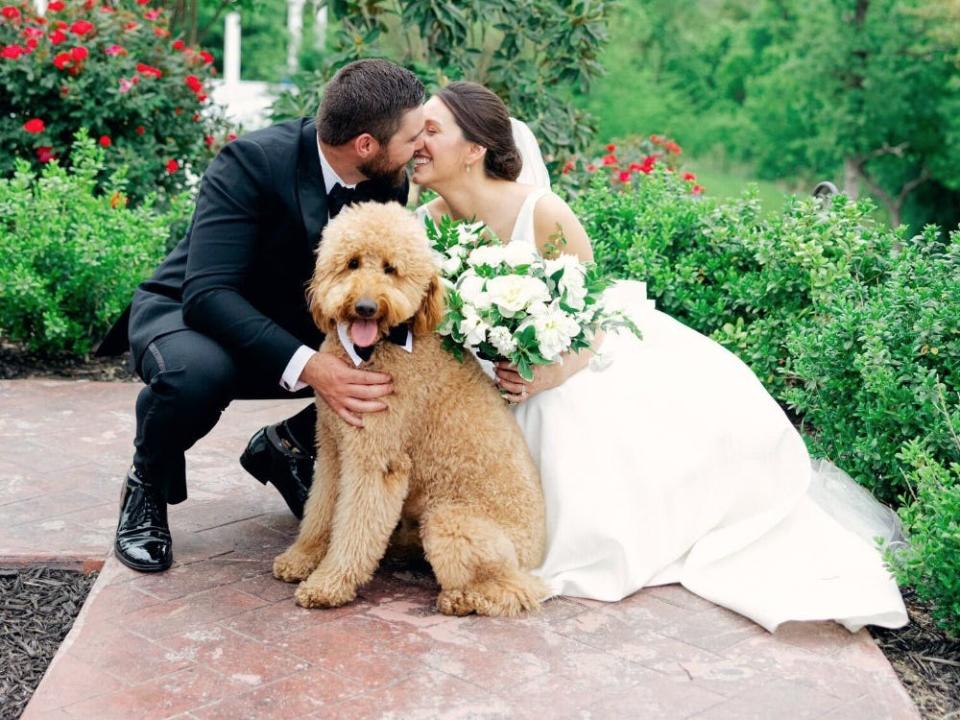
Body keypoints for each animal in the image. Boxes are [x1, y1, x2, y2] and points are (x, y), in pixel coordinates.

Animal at [276, 200, 548, 616]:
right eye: (352, 263)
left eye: (392, 268)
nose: (366, 307)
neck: (378, 349)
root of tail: (538, 553)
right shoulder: (334, 447)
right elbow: (320, 511)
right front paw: (301, 558)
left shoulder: (376, 460)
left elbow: (354, 527)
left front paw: (328, 584)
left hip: (450, 522)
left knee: (522, 590)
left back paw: (461, 598)